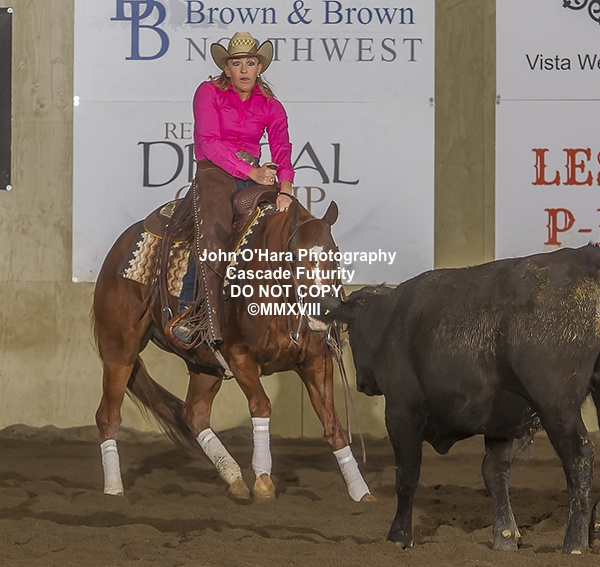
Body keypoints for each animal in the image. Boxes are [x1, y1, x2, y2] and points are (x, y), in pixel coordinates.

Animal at [92, 196, 374, 503]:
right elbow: (261, 405)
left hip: (204, 365)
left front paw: (361, 491)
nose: (322, 312)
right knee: (108, 416)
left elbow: (333, 425)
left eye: (335, 255)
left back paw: (234, 477)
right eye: (294, 257)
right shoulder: (240, 358)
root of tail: (118, 248)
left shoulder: (316, 362)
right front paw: (263, 480)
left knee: (194, 414)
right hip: (119, 349)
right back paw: (113, 488)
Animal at [319, 244, 600, 554]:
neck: (391, 319)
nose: (362, 383)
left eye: (350, 331)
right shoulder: (499, 419)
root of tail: (584, 256)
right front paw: (505, 534)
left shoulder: (401, 411)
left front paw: (399, 535)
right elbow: (494, 471)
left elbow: (407, 475)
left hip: (555, 403)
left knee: (578, 456)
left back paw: (574, 542)